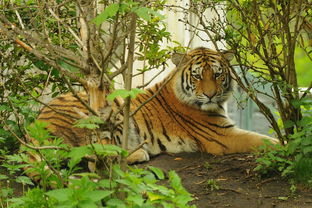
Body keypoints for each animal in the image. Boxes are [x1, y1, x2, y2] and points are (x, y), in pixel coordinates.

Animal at [30, 47, 278, 166]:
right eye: (197, 76)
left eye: (217, 74)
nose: (210, 95)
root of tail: (37, 123)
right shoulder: (222, 136)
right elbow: (263, 141)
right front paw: (283, 146)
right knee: (93, 154)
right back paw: (139, 152)